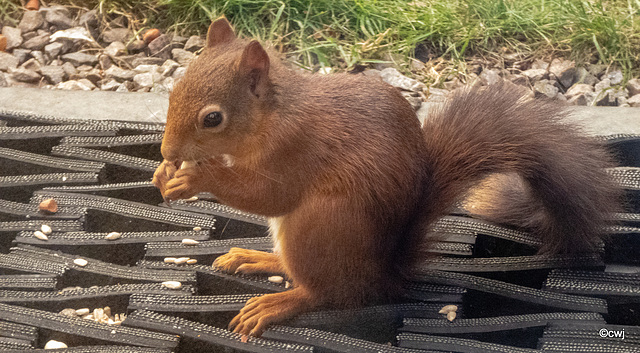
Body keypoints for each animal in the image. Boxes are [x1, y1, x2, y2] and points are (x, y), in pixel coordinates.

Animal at [151, 16, 620, 336]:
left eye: (213, 118)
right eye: (171, 93)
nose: (167, 152)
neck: (272, 115)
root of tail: (383, 272)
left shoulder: (295, 149)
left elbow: (267, 194)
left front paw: (194, 179)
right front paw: (162, 174)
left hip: (321, 225)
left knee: (328, 292)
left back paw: (279, 302)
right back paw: (254, 257)